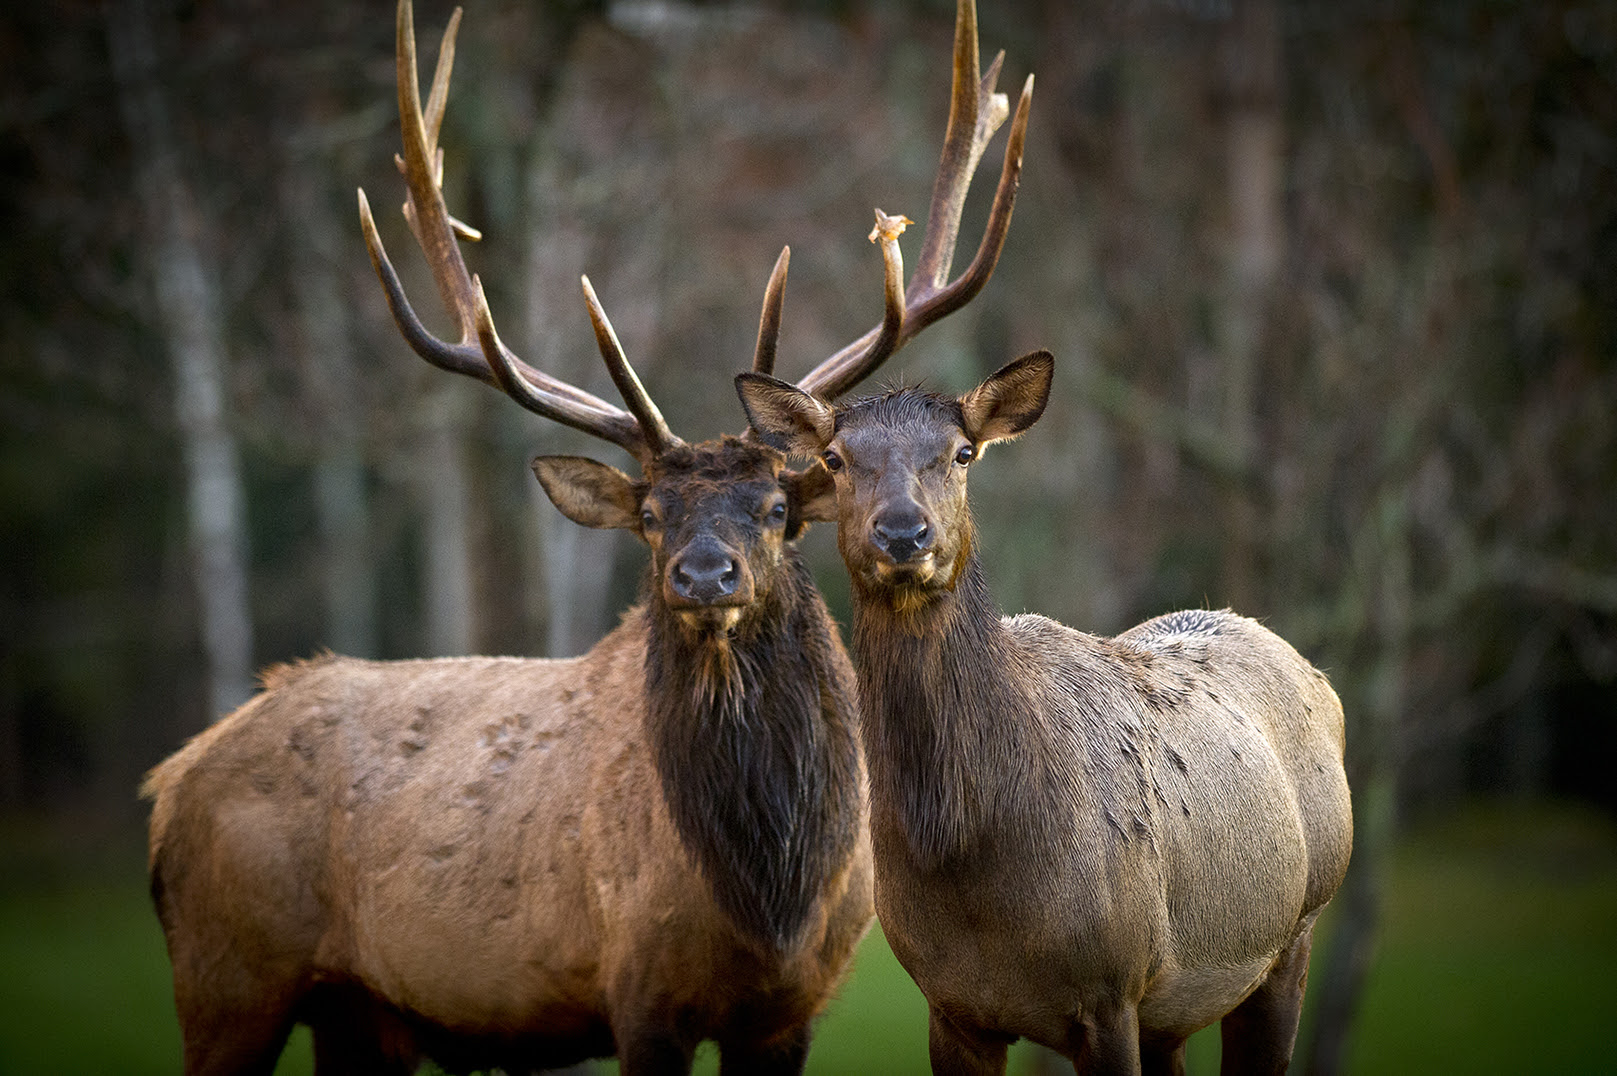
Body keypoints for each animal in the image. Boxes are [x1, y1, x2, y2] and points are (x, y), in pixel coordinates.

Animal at [142, 2, 1034, 1074]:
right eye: (649, 515)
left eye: (777, 509)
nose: (704, 574)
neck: (770, 894)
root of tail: (168, 786)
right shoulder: (637, 988)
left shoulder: (796, 1006)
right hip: (226, 970)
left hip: (358, 1012)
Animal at [740, 354, 1358, 1074]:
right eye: (835, 457)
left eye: (962, 452)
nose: (902, 533)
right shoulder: (950, 1006)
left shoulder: (1113, 987)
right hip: (1175, 1011)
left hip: (1298, 928)